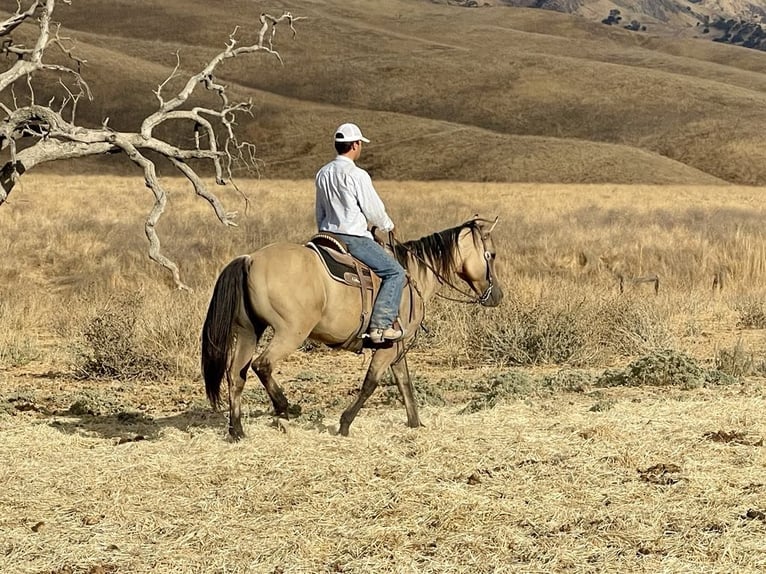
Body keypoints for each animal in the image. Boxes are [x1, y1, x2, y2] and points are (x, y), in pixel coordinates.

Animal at [201, 216, 503, 439]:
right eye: (491, 254)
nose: (497, 296)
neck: (411, 276)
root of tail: (250, 259)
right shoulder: (387, 347)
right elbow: (371, 383)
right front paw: (345, 423)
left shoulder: (398, 347)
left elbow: (405, 384)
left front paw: (416, 423)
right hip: (290, 333)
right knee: (261, 365)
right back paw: (286, 407)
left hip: (249, 331)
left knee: (236, 375)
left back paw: (237, 430)